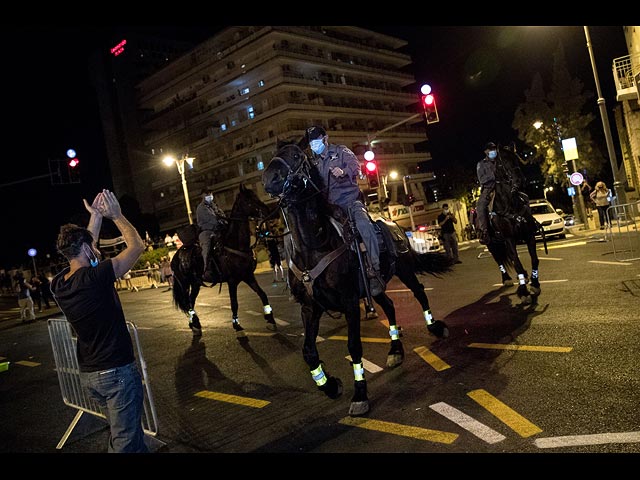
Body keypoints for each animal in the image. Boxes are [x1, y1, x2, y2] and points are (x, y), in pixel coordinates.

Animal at [171, 184, 276, 334]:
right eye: (249, 200)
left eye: (256, 195)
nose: (268, 211)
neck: (235, 245)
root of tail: (176, 256)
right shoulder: (232, 281)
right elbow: (234, 303)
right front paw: (236, 325)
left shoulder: (248, 276)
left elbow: (262, 294)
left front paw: (270, 319)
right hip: (185, 283)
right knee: (188, 301)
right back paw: (194, 323)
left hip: (196, 283)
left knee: (191, 301)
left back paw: (194, 323)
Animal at [260, 140, 450, 416]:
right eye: (270, 157)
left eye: (295, 155)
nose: (269, 179)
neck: (315, 246)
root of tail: (395, 225)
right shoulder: (311, 307)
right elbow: (308, 351)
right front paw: (329, 385)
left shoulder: (350, 302)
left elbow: (353, 346)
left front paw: (360, 394)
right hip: (376, 287)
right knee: (390, 306)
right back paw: (395, 350)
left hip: (404, 271)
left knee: (419, 292)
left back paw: (435, 326)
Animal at [480, 142, 544, 302]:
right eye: (503, 163)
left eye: (517, 160)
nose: (520, 180)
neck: (510, 205)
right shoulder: (509, 238)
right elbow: (517, 264)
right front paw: (524, 292)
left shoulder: (528, 235)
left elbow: (534, 259)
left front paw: (535, 284)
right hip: (491, 243)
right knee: (499, 259)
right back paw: (507, 279)